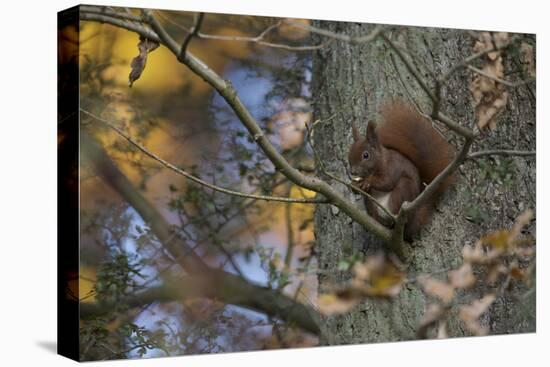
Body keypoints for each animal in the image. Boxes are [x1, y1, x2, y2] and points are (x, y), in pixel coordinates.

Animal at [350, 102, 458, 240]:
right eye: (349, 154)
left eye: (366, 155)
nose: (352, 172)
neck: (380, 161)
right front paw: (354, 185)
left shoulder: (392, 167)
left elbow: (387, 182)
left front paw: (368, 181)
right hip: (371, 202)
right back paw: (374, 221)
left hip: (403, 190)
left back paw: (393, 221)